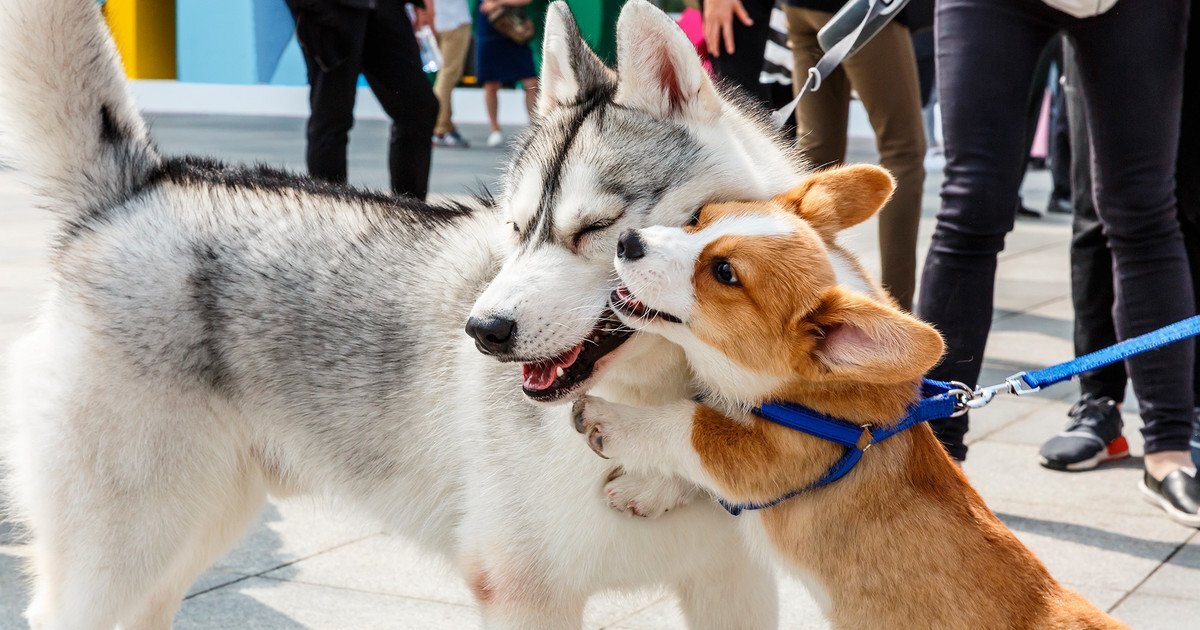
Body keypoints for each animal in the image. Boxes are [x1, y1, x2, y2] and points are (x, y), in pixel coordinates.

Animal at [0, 0, 806, 624]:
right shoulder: (522, 590)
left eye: (597, 230)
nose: (482, 332)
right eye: (517, 229)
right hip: (125, 549)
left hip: (183, 538)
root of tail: (143, 186)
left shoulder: (734, 585)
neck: (659, 404)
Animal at [571, 164, 1123, 624]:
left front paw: (606, 420)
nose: (627, 241)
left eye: (725, 272)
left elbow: (689, 425)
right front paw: (646, 490)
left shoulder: (769, 457)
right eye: (698, 218)